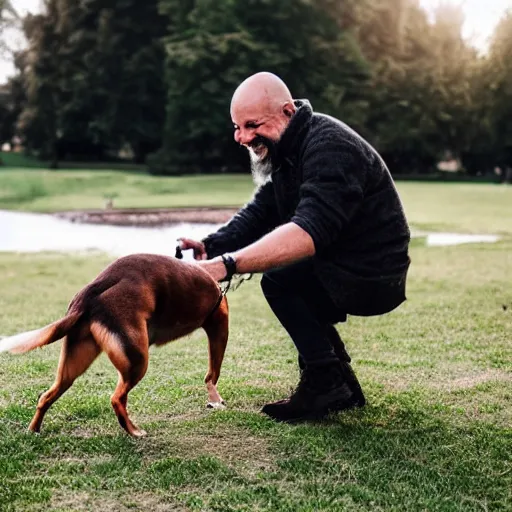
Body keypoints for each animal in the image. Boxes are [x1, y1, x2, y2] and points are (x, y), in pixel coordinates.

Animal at [0, 254, 228, 438]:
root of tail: (88, 296)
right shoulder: (219, 326)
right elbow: (213, 373)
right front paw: (215, 398)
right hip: (137, 360)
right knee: (116, 399)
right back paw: (134, 432)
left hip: (74, 363)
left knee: (46, 396)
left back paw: (34, 430)